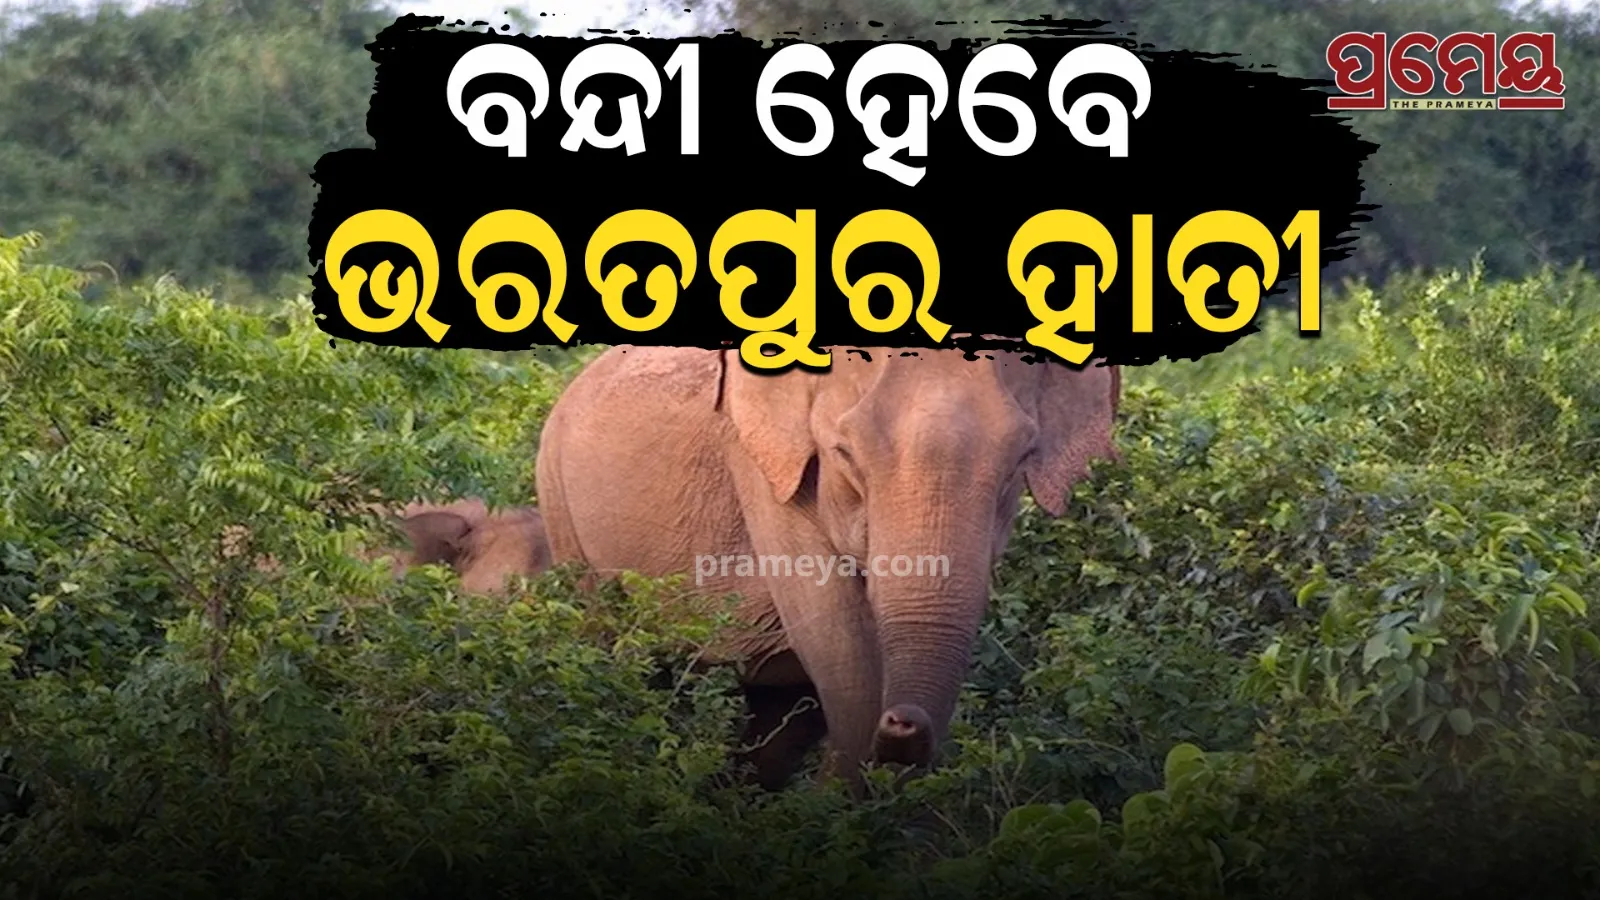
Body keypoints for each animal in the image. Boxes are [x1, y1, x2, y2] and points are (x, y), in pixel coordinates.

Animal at [535, 344, 1121, 792]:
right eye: (844, 453)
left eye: (1019, 461)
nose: (902, 720)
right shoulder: (768, 475)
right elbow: (843, 648)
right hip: (561, 508)